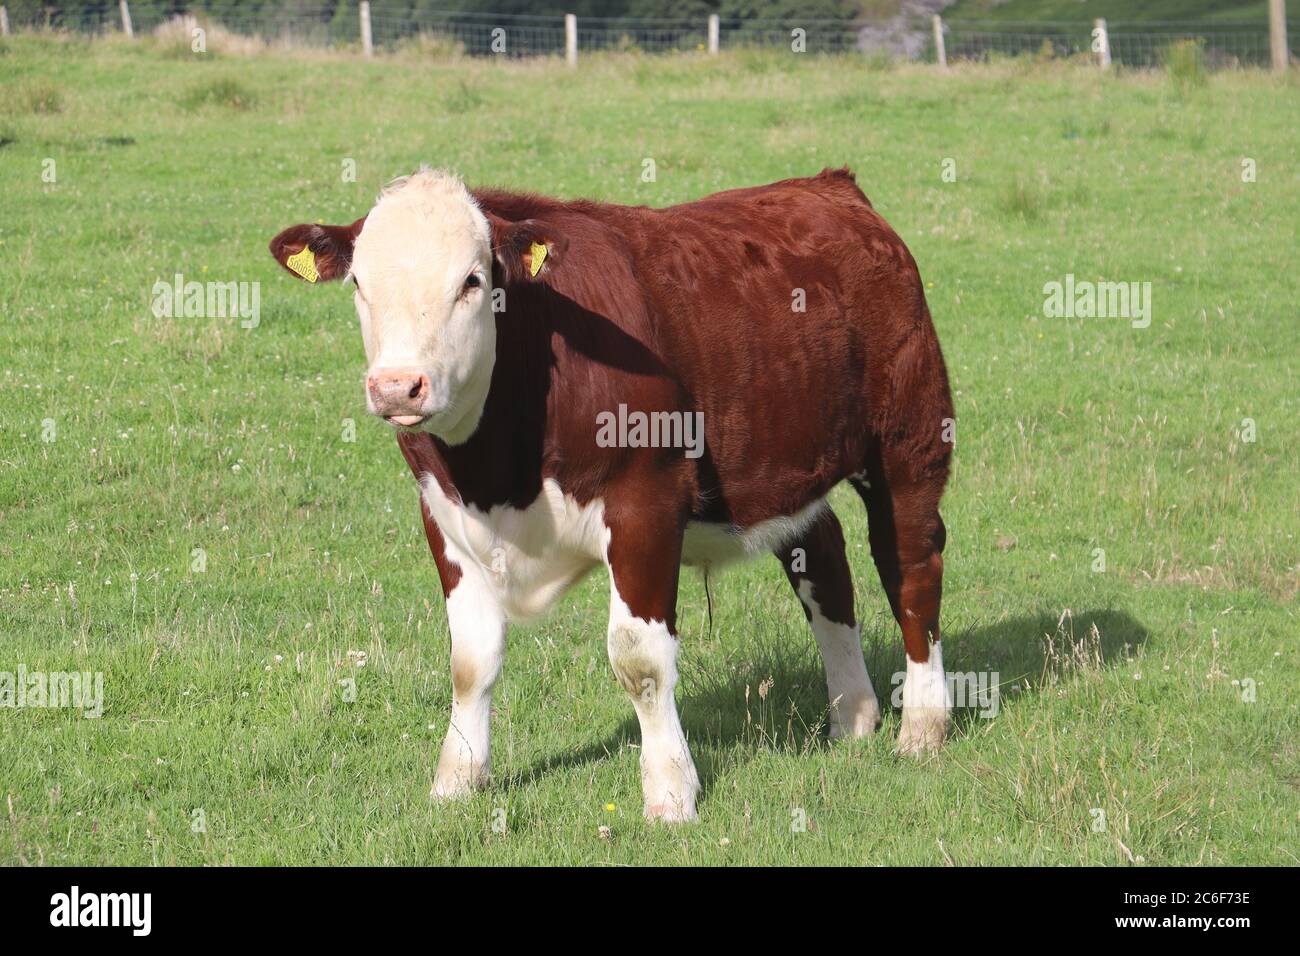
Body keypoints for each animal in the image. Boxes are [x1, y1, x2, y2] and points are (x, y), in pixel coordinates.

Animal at [269, 166, 956, 822]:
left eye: (471, 280)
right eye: (359, 284)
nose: (396, 387)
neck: (497, 470)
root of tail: (830, 186)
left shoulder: (643, 504)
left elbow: (640, 660)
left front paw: (671, 793)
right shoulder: (442, 515)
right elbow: (470, 661)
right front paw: (456, 783)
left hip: (909, 441)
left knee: (911, 571)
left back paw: (922, 727)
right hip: (787, 464)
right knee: (825, 559)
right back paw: (853, 714)